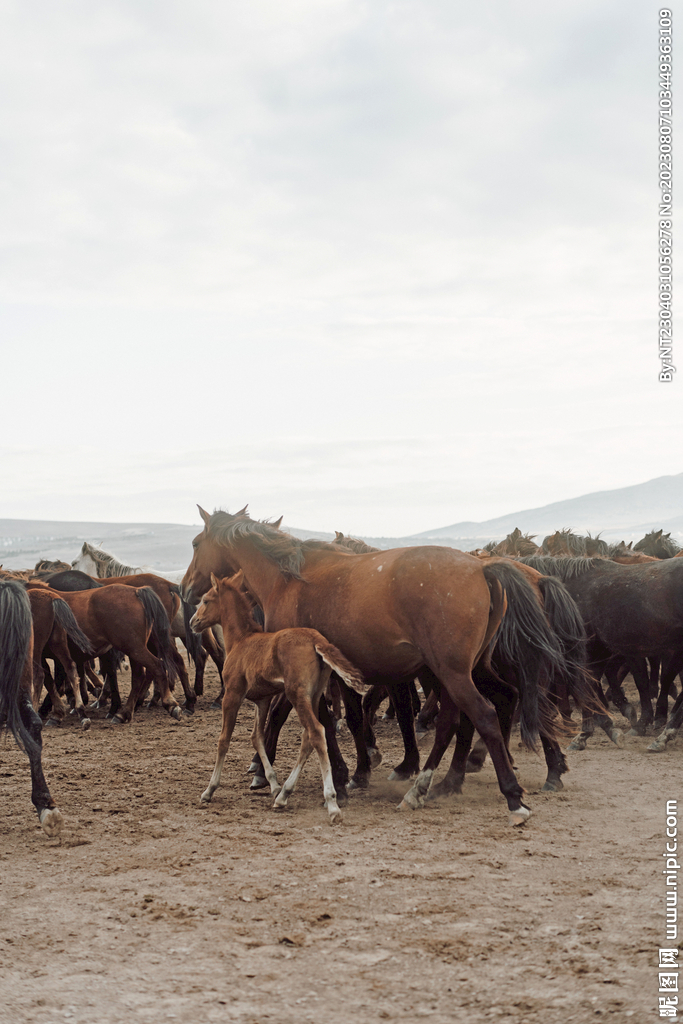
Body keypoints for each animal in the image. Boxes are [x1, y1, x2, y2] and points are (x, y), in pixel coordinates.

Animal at [189, 569, 366, 823]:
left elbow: (224, 740)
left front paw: (209, 790)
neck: (242, 640)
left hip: (296, 693)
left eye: (205, 600)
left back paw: (332, 803)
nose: (193, 622)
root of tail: (316, 640)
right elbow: (257, 737)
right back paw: (283, 795)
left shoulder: (232, 694)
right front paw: (272, 784)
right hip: (312, 695)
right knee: (307, 737)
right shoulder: (262, 700)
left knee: (316, 732)